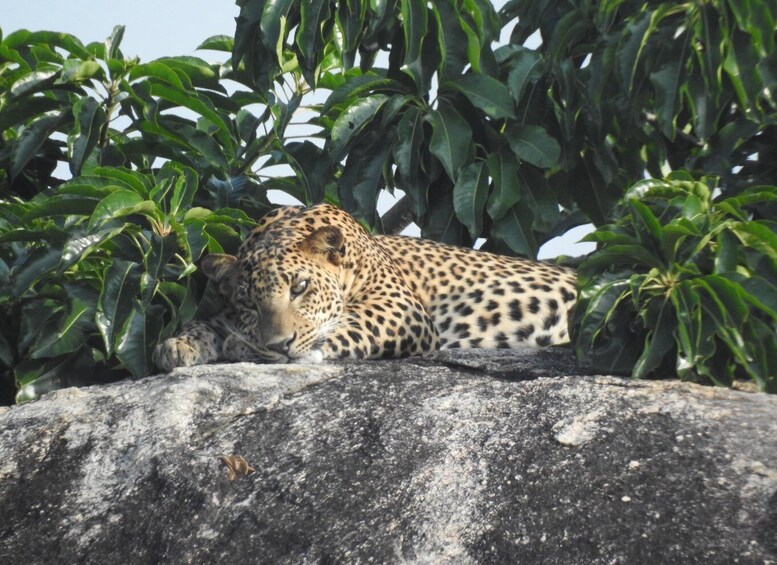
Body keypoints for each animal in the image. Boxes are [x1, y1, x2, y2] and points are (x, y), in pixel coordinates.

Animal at [153, 204, 577, 371]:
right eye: (250, 305)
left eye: (300, 287)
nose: (280, 345)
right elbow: (208, 322)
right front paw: (178, 345)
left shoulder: (401, 308)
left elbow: (349, 326)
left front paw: (245, 346)